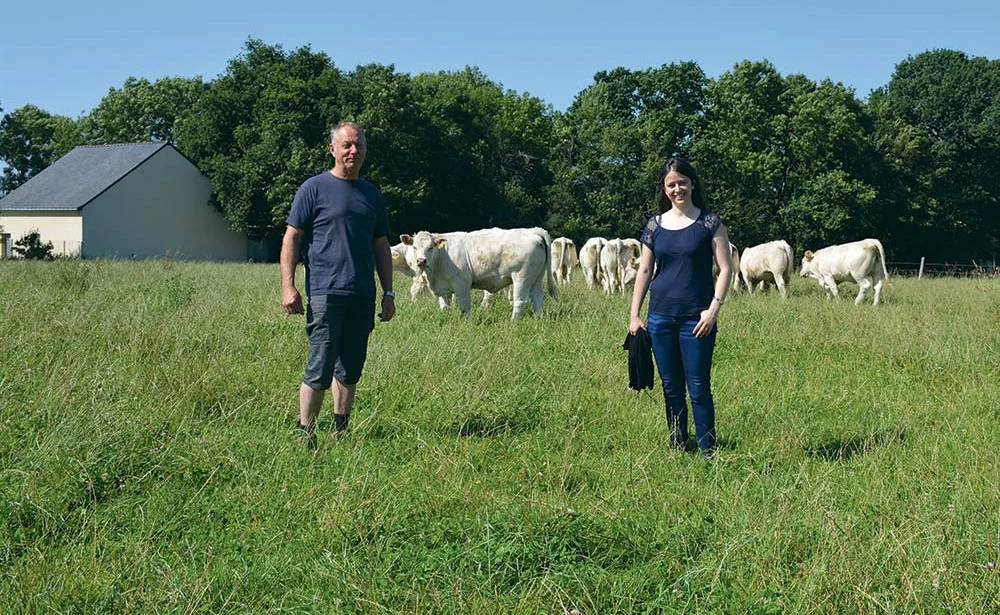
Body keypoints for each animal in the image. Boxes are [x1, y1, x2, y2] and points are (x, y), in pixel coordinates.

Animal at [398, 229, 556, 320]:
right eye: (414, 247)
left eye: (431, 247)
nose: (421, 261)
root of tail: (534, 232)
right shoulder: (443, 288)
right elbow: (444, 307)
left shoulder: (462, 285)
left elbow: (465, 307)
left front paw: (468, 324)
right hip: (536, 278)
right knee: (537, 298)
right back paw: (538, 319)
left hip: (522, 277)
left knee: (520, 301)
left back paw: (513, 322)